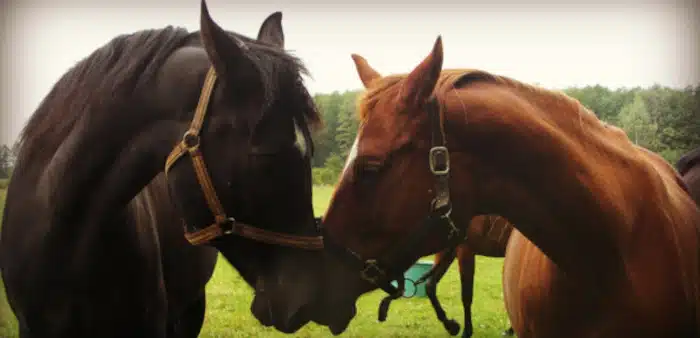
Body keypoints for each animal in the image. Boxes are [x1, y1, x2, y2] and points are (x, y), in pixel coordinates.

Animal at [378, 215, 516, 336]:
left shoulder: (464, 250)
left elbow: (466, 296)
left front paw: (466, 332)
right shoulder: (447, 249)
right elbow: (430, 285)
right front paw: (451, 326)